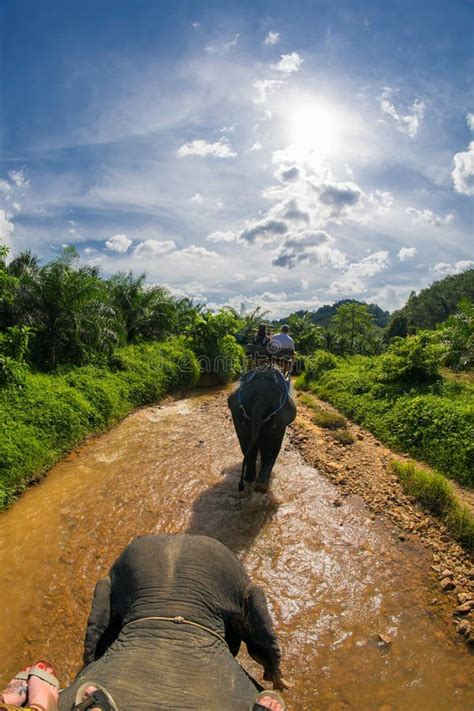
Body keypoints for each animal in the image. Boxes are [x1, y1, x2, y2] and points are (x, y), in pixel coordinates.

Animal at [227, 368, 296, 496]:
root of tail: (260, 401)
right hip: (279, 420)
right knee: (271, 451)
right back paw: (260, 486)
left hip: (237, 414)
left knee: (247, 448)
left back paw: (250, 481)